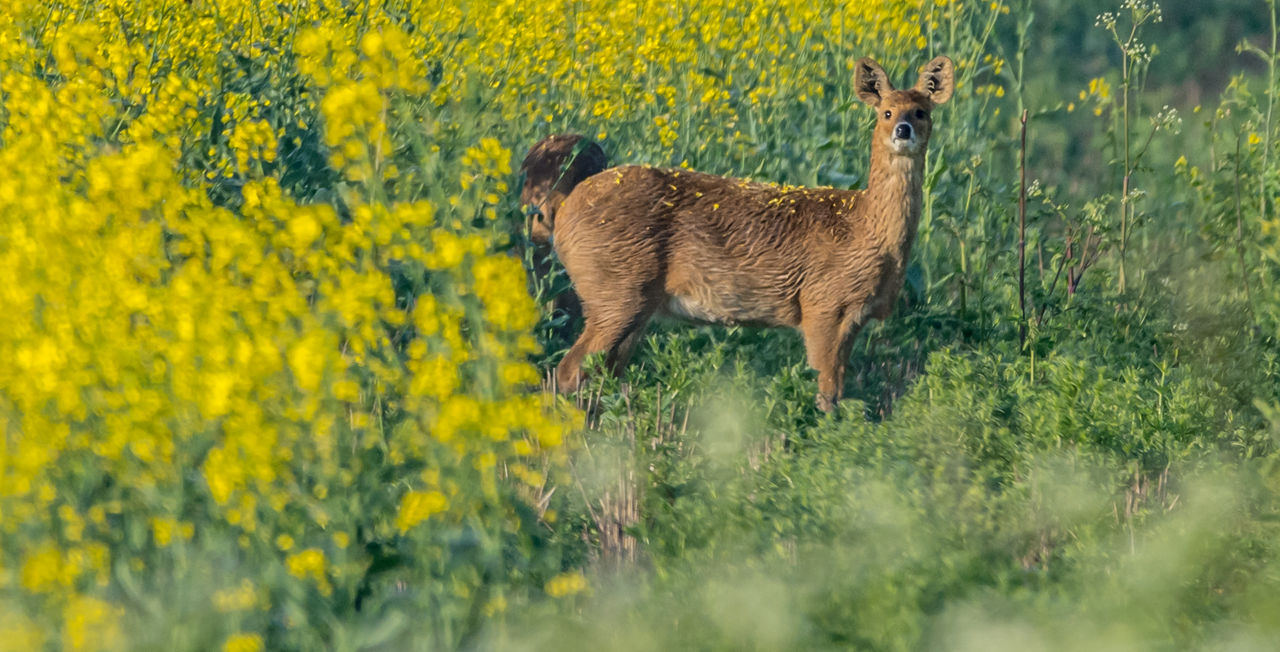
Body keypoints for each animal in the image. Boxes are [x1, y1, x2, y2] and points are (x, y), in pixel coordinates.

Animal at [524, 57, 957, 412]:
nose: (902, 129)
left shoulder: (852, 318)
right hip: (616, 290)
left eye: (922, 110)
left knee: (599, 374)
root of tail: (564, 206)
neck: (865, 230)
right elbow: (826, 394)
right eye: (885, 112)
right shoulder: (822, 304)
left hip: (628, 303)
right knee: (566, 373)